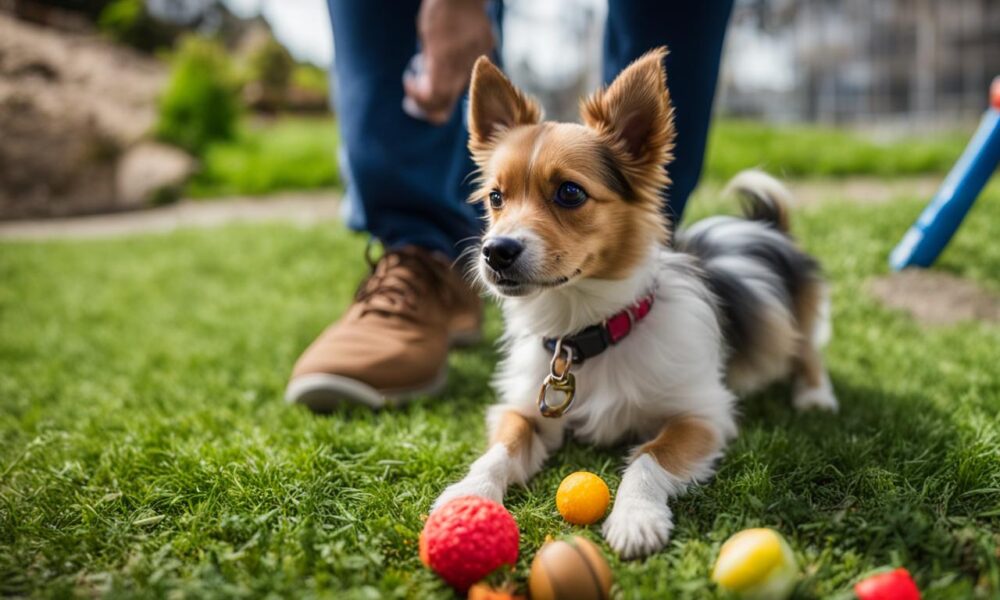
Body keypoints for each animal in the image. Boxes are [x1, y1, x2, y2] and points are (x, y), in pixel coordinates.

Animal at [436, 49, 836, 560]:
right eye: (495, 197)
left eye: (570, 192)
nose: (495, 251)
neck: (586, 332)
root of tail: (762, 224)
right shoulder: (524, 409)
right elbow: (499, 452)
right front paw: (467, 496)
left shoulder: (701, 415)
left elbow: (648, 456)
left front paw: (636, 516)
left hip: (797, 317)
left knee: (807, 351)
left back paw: (815, 396)